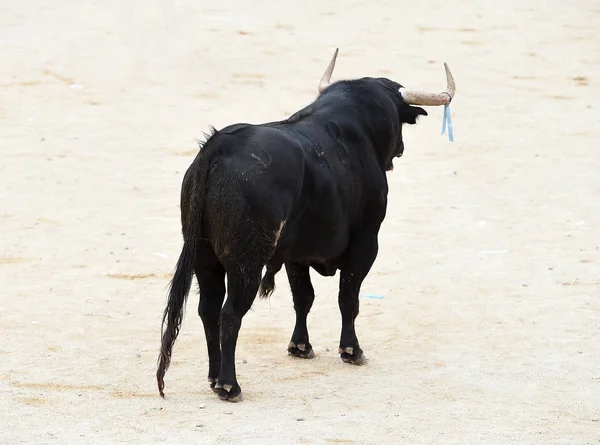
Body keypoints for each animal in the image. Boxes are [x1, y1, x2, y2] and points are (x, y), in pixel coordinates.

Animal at [156, 50, 454, 400]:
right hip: (246, 263)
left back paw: (215, 377)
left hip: (205, 259)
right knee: (230, 313)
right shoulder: (366, 242)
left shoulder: (295, 255)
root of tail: (216, 148)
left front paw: (300, 346)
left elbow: (303, 297)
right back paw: (230, 385)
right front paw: (352, 351)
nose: (401, 149)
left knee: (209, 310)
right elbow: (348, 297)